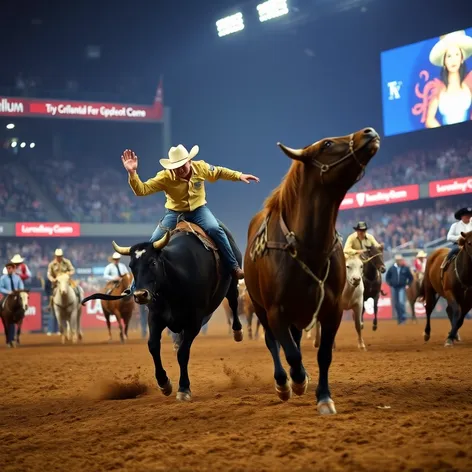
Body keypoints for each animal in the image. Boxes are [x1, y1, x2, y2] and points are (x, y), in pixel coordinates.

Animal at [80, 223, 242, 400]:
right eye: (131, 266)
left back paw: (237, 331)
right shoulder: (155, 317)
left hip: (232, 284)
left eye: (152, 262)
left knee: (233, 302)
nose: (140, 295)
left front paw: (184, 388)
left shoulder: (194, 321)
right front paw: (164, 383)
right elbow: (153, 346)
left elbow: (183, 353)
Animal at [243, 127, 380, 414]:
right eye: (326, 144)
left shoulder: (331, 310)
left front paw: (324, 397)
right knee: (273, 343)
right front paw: (296, 382)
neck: (308, 248)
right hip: (260, 308)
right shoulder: (275, 311)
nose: (369, 132)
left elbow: (323, 354)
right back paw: (283, 383)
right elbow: (290, 352)